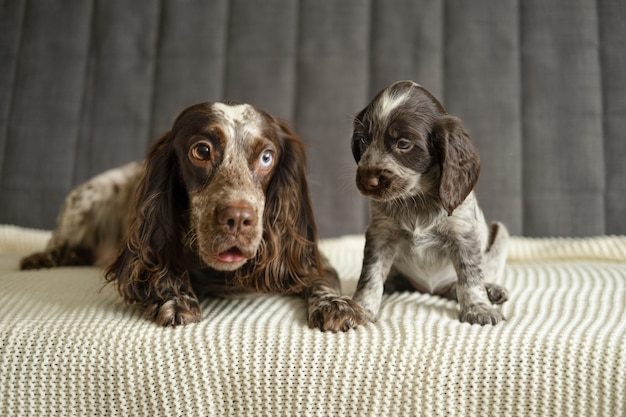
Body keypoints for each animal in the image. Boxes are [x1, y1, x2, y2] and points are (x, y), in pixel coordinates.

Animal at [348, 80, 510, 324]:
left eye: (403, 143)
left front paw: (478, 307)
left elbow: (470, 277)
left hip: (500, 233)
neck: (416, 198)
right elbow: (371, 275)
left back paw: (491, 290)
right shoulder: (380, 233)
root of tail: (429, 289)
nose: (368, 181)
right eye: (363, 140)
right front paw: (361, 308)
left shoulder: (463, 234)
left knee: (460, 284)